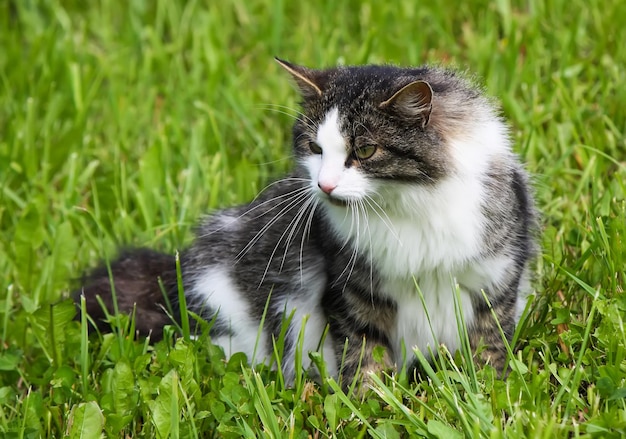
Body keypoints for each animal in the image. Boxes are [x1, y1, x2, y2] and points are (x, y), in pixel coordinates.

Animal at [77, 57, 536, 388]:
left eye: (365, 151)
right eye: (315, 148)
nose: (324, 185)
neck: (408, 206)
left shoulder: (493, 282)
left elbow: (489, 349)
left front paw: (487, 393)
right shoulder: (352, 291)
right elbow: (364, 357)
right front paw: (370, 405)